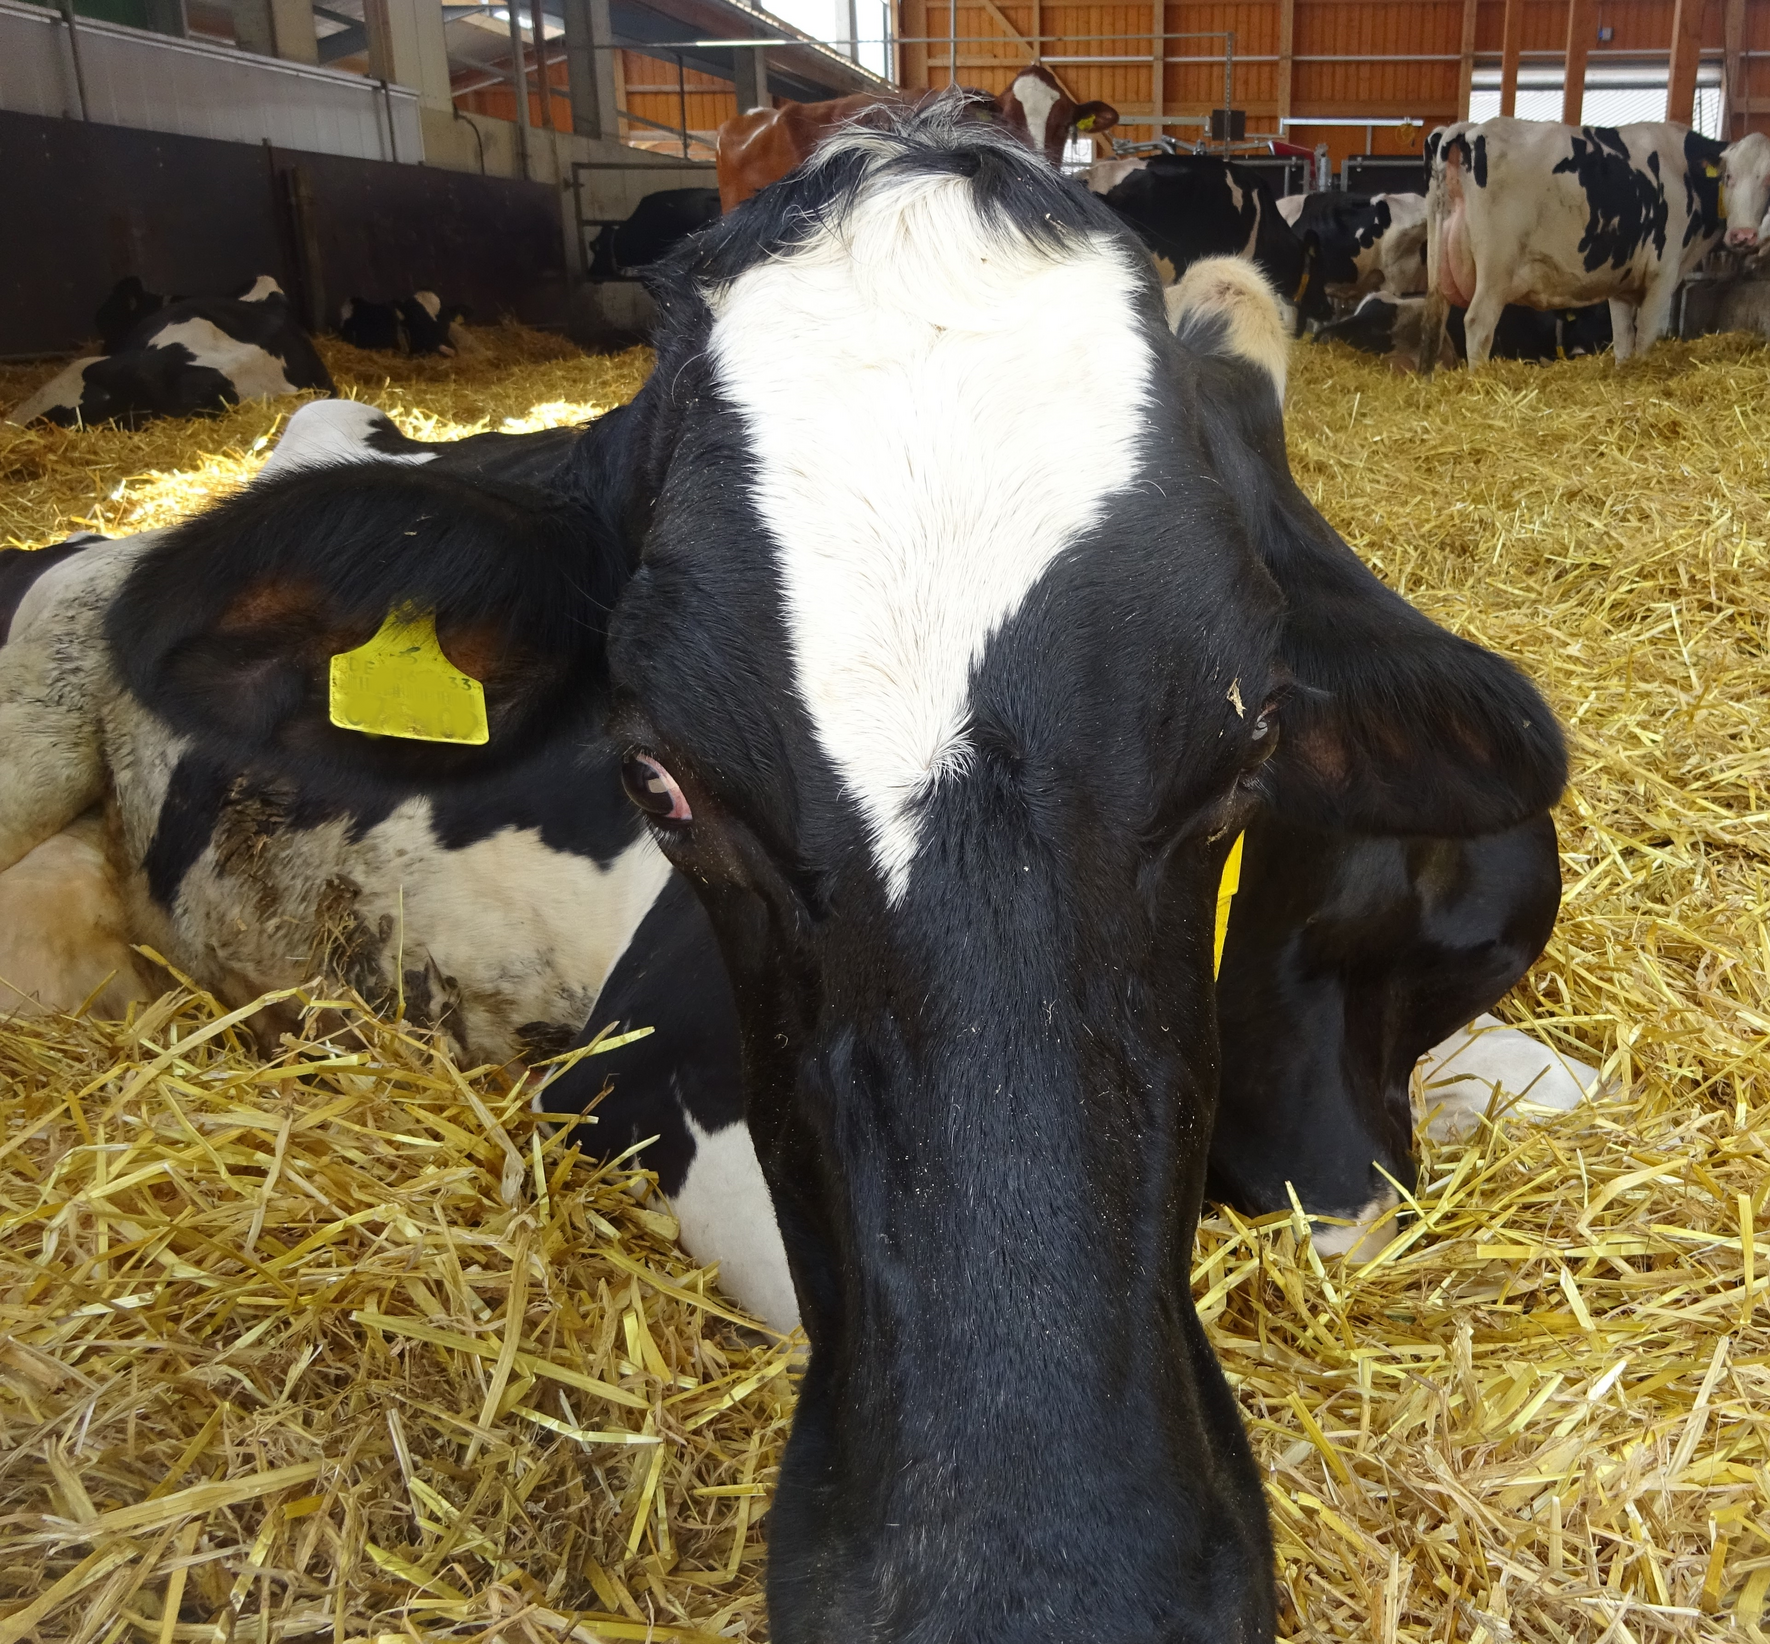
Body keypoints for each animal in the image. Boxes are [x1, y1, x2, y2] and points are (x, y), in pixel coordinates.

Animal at [1420, 116, 1759, 370]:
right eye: (1728, 176)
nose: (1744, 235)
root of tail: (1469, 129)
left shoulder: (1623, 284)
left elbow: (1623, 341)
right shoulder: (1662, 276)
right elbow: (1646, 336)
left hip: (1438, 274)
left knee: (1432, 325)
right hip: (1495, 274)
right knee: (1478, 324)